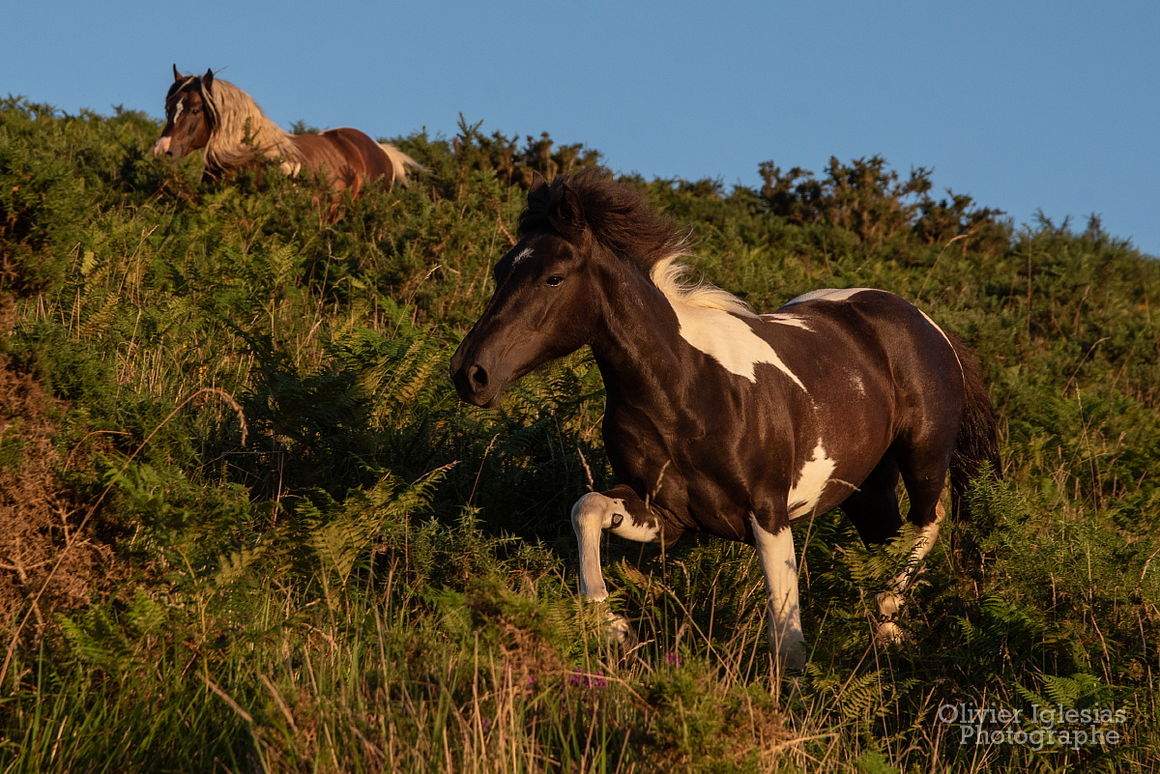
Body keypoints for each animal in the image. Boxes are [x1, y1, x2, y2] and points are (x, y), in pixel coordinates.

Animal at [447, 168, 1002, 673]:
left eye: (554, 277)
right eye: (500, 270)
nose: (470, 373)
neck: (687, 391)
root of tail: (929, 326)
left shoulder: (769, 513)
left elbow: (787, 636)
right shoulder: (666, 516)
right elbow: (587, 508)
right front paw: (611, 625)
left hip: (923, 454)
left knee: (927, 524)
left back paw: (888, 619)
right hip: (866, 488)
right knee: (887, 542)